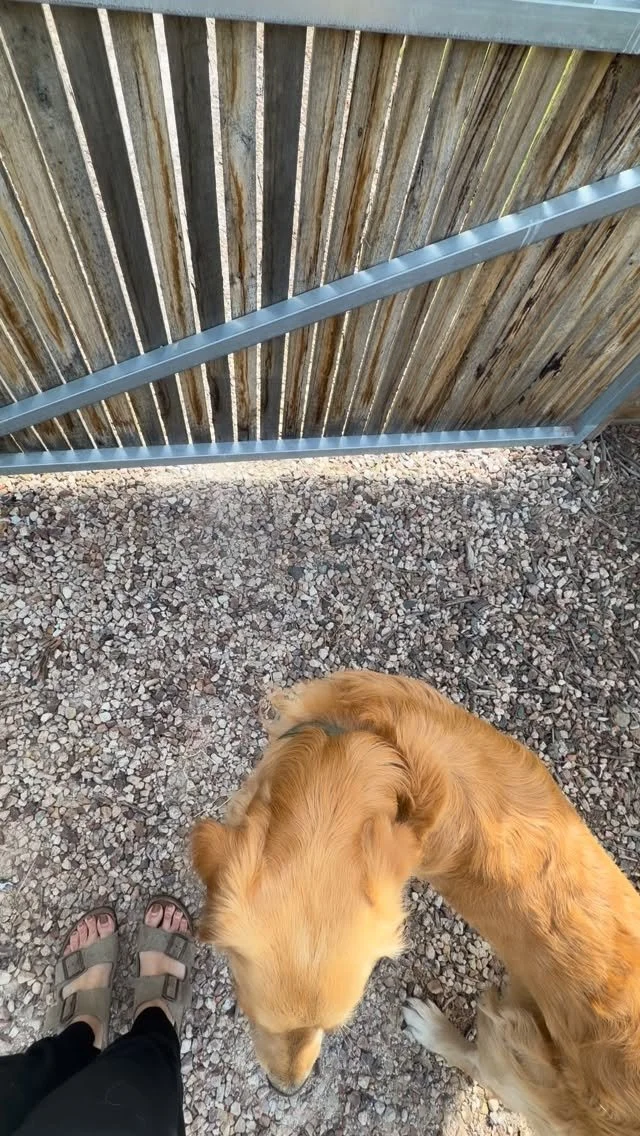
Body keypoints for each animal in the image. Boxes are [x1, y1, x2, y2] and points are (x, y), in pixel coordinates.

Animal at [192, 671, 640, 1132]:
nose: (287, 1090)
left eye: (333, 1028)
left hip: (517, 1045)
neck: (378, 756)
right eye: (252, 1016)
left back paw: (432, 1028)